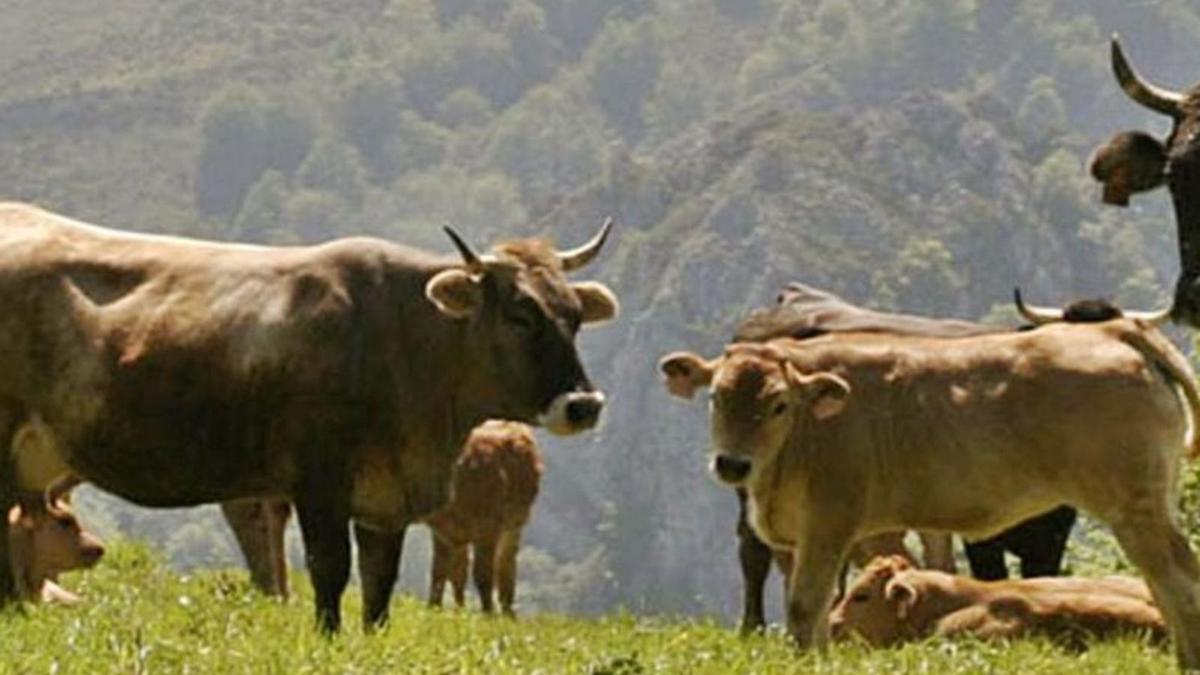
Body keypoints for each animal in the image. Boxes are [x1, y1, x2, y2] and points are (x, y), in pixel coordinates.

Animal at [424, 417, 542, 612]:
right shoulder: (442, 531)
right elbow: (440, 571)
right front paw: (434, 608)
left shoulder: (488, 528)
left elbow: (483, 574)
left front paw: (488, 613)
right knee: (460, 569)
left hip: (513, 526)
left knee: (506, 568)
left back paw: (507, 611)